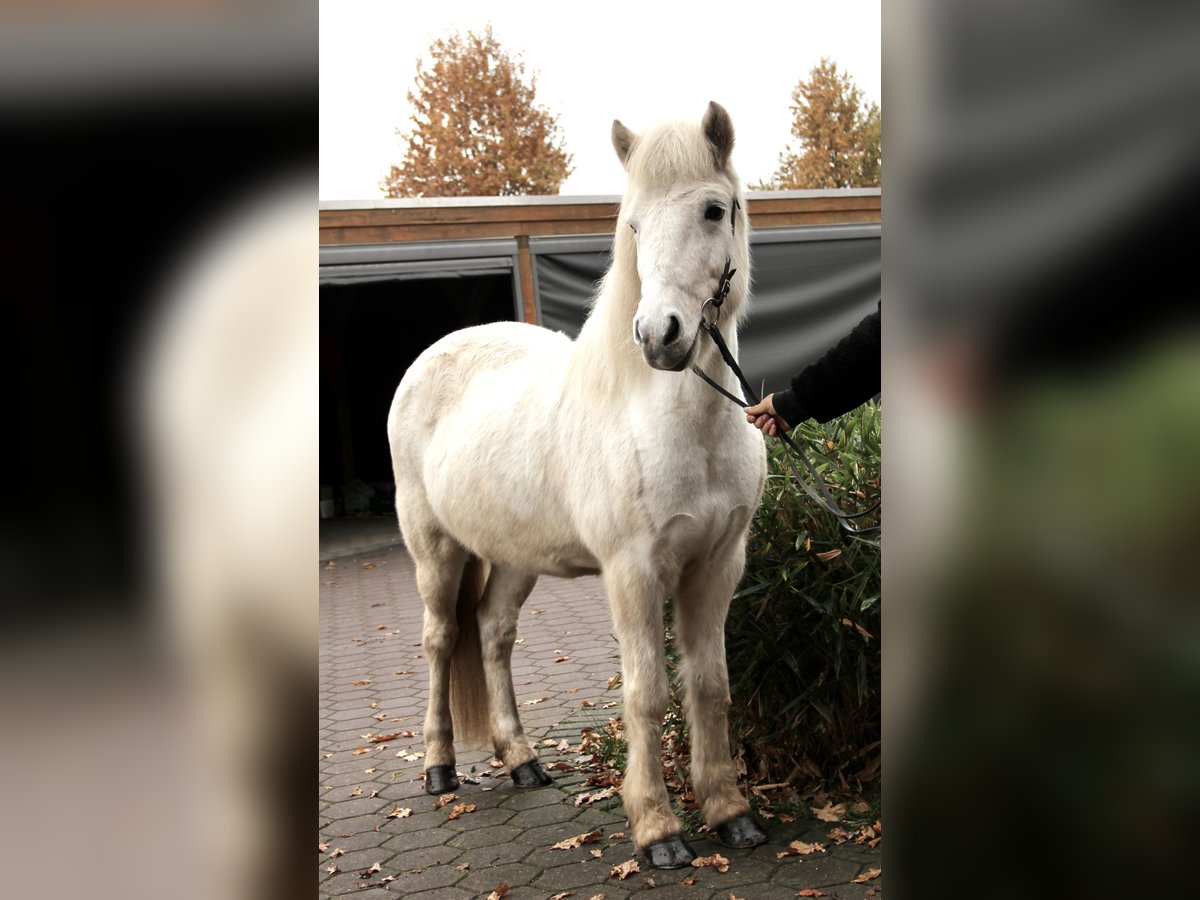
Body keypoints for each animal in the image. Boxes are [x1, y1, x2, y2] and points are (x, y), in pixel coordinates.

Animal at [386, 101, 768, 869]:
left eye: (714, 210)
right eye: (634, 225)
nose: (660, 335)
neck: (681, 424)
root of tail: (430, 357)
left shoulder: (717, 566)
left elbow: (710, 686)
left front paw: (729, 811)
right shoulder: (632, 574)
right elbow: (648, 694)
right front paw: (658, 829)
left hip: (512, 558)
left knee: (493, 633)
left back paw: (522, 760)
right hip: (435, 550)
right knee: (442, 640)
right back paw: (439, 767)